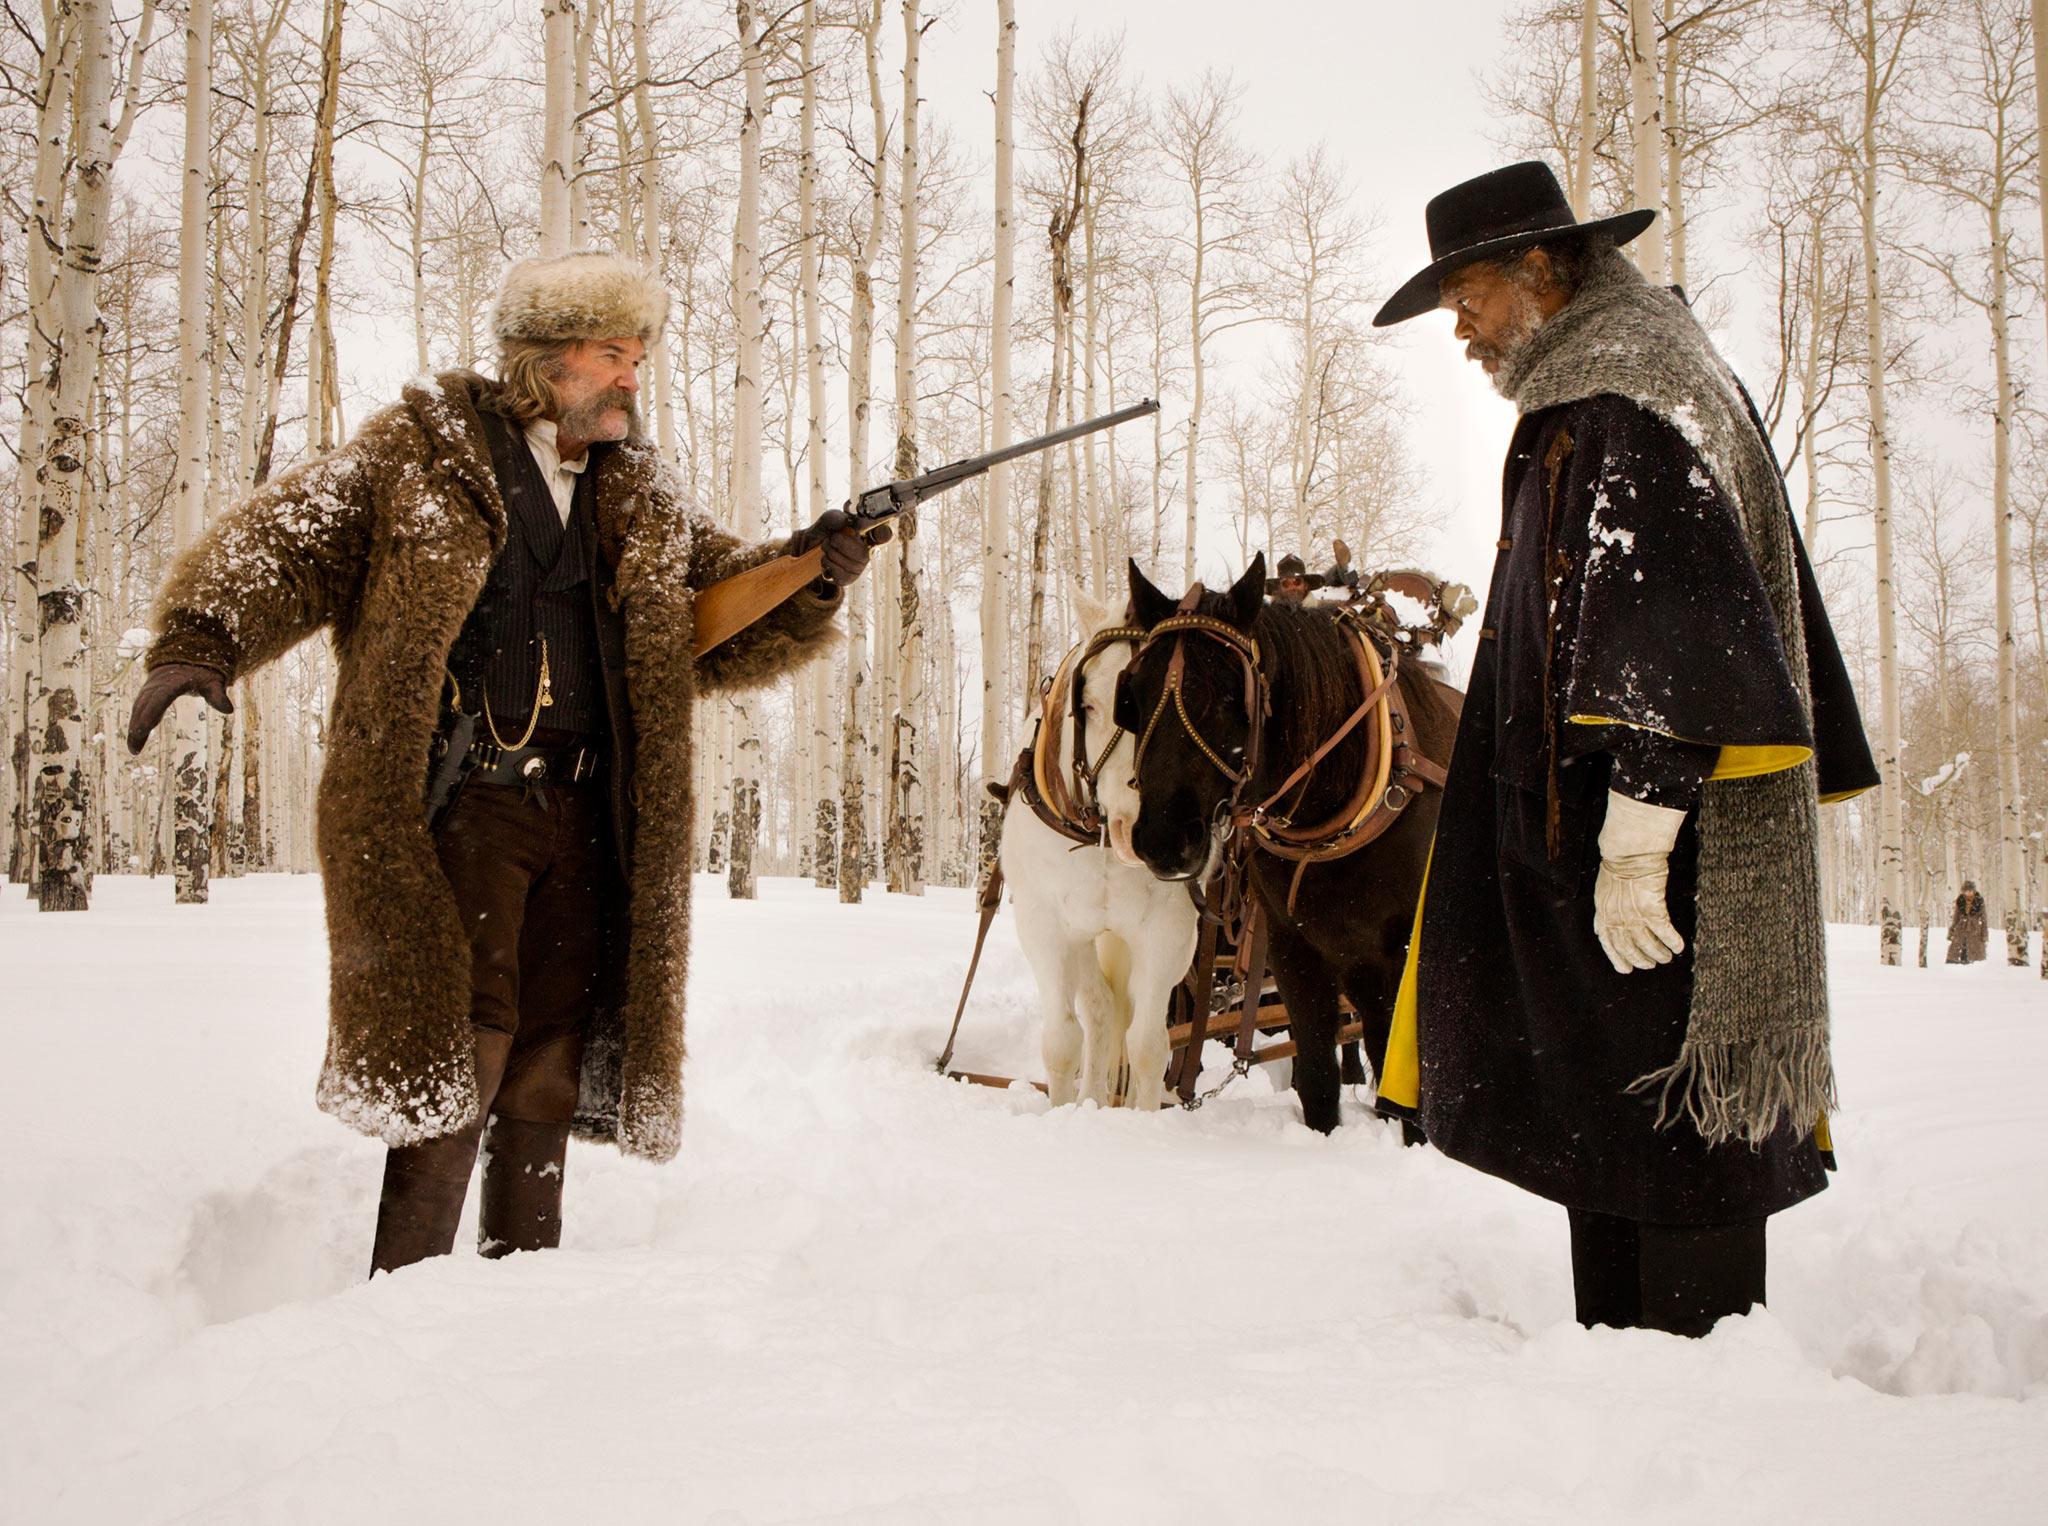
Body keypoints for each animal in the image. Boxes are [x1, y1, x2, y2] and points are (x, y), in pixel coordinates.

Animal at [995, 594, 1196, 1106]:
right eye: (1087, 703)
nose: (1142, 831)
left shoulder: (1169, 931)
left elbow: (1148, 1046)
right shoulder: (1046, 927)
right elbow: (1064, 1041)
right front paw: (1068, 1111)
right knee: (1102, 1009)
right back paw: (1093, 1099)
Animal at [1114, 561, 1466, 1130]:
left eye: (1230, 695)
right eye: (1134, 697)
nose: (1163, 840)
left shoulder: (1404, 959)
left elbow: (1402, 1088)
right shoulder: (1293, 950)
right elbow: (1317, 1080)